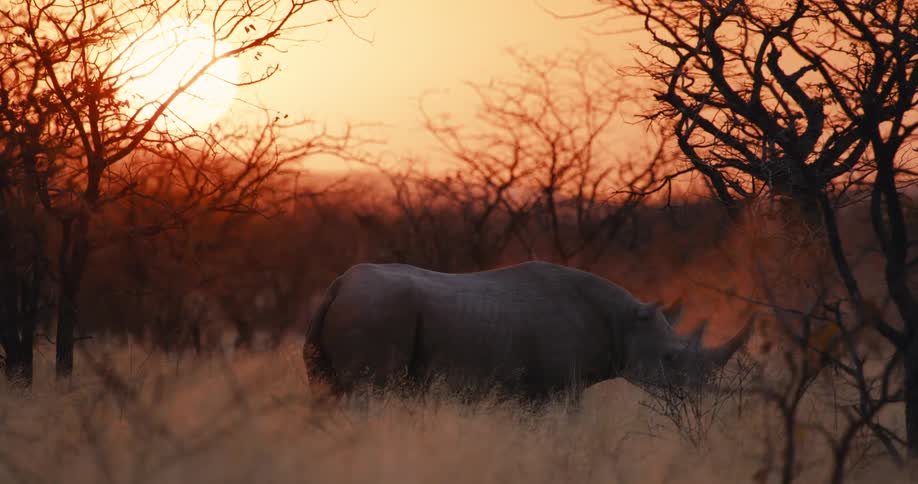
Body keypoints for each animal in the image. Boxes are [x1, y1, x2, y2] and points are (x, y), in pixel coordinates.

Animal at [303, 261, 752, 401]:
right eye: (671, 358)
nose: (697, 396)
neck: (624, 319)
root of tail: (337, 286)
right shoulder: (558, 387)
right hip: (376, 310)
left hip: (354, 309)